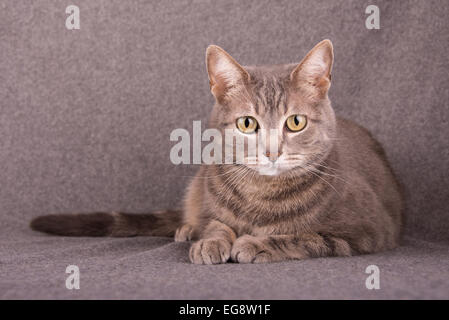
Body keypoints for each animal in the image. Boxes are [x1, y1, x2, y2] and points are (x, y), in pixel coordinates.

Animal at [31, 39, 402, 264]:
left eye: (295, 122)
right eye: (248, 124)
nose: (271, 152)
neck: (261, 193)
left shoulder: (369, 230)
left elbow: (305, 236)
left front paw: (256, 243)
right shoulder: (212, 202)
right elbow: (216, 223)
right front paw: (210, 241)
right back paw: (186, 230)